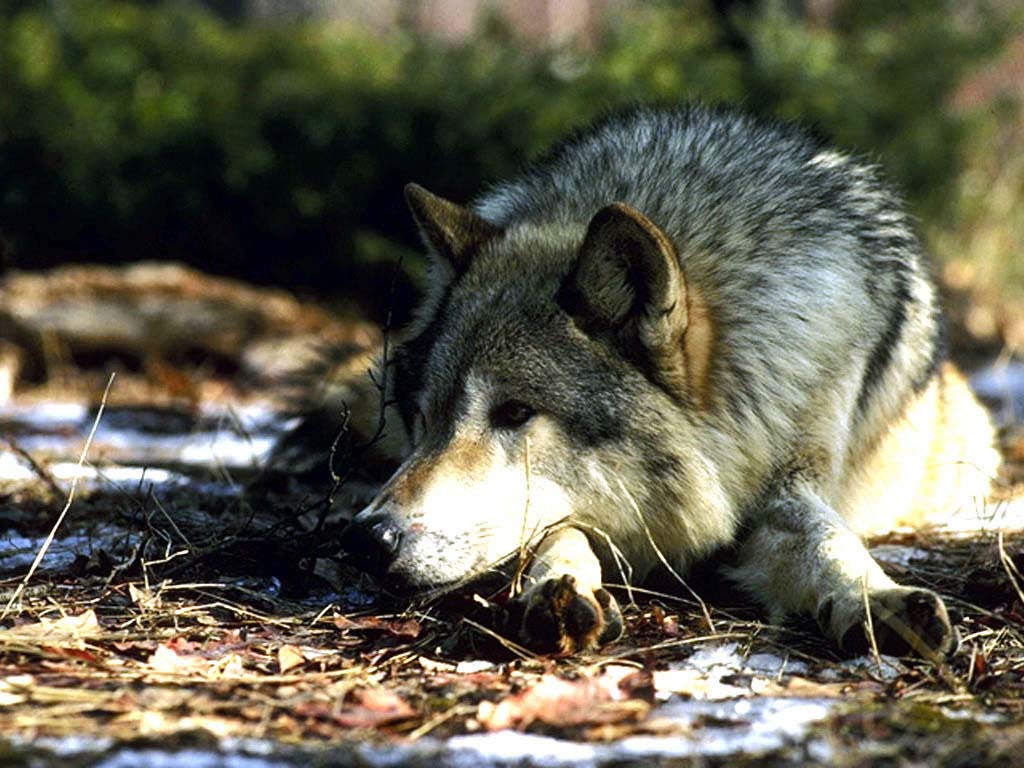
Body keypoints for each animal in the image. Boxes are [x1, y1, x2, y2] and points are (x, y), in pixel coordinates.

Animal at [292, 105, 995, 659]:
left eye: (514, 413)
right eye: (425, 416)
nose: (367, 539)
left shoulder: (790, 477)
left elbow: (826, 540)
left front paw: (878, 598)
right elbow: (558, 531)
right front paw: (558, 589)